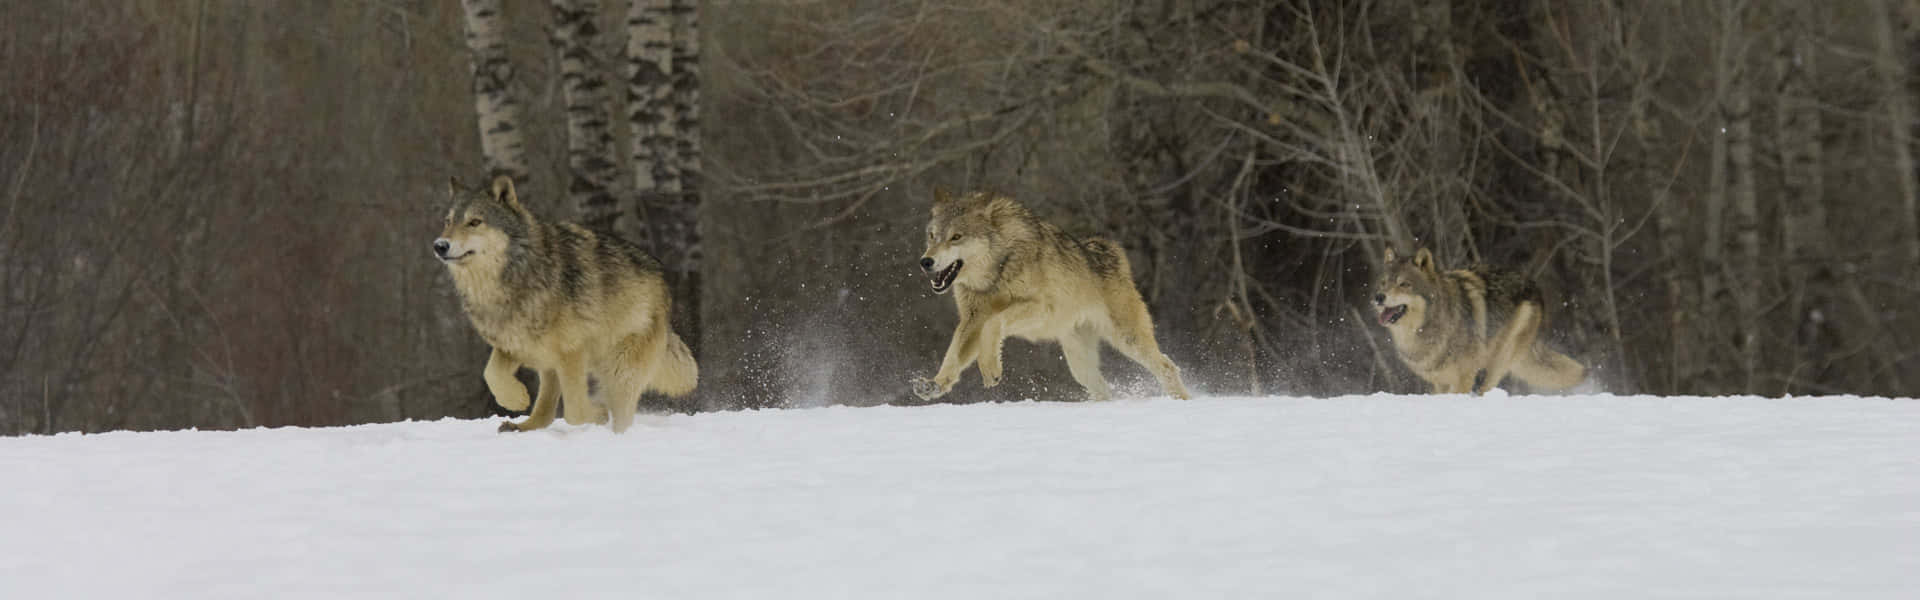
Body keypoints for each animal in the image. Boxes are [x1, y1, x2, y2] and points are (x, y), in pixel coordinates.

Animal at [436, 175, 697, 433]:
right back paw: (521, 426)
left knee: (619, 414)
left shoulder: (572, 351)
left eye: (474, 222)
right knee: (546, 413)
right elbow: (491, 373)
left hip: (620, 370)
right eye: (448, 221)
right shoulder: (515, 345)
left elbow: (575, 412)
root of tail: (663, 282)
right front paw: (517, 399)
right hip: (550, 363)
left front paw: (598, 414)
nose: (440, 245)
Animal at [911, 188, 1192, 402]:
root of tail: (1110, 251)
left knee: (1167, 366)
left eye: (956, 237)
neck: (997, 269)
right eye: (932, 236)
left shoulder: (1041, 309)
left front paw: (990, 368)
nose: (926, 261)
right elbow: (953, 356)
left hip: (1127, 339)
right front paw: (934, 384)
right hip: (1079, 364)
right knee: (1102, 388)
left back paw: (1181, 402)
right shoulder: (971, 320)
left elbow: (994, 324)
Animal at [1372, 246, 1585, 394]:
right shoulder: (1440, 382)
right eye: (1383, 283)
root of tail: (1533, 284)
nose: (1379, 297)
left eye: (1403, 284)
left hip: (1495, 363)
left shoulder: (1464, 377)